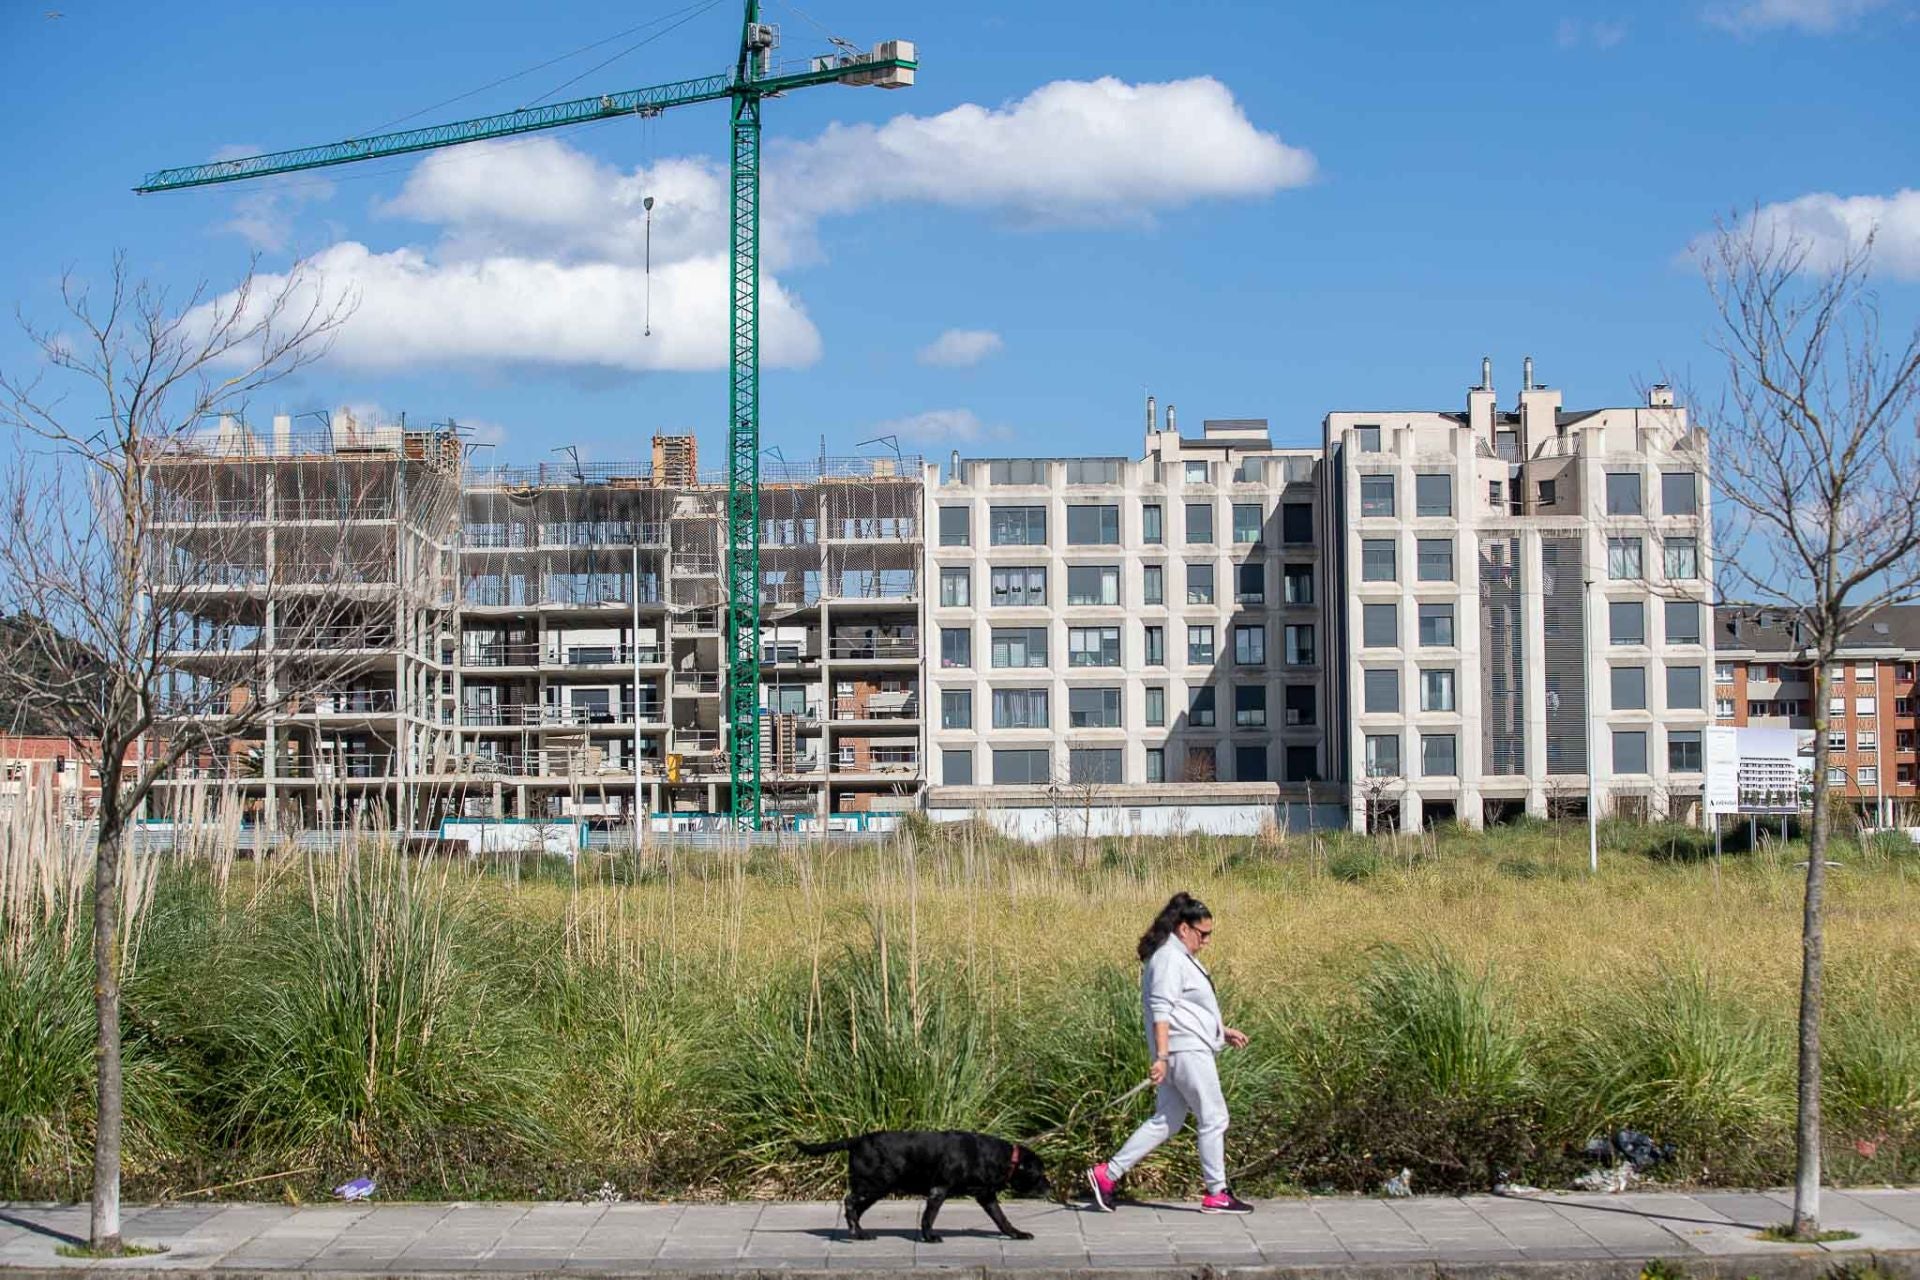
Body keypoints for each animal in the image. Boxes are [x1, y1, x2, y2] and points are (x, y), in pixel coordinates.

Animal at [794, 1128, 1052, 1243]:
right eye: (1040, 1173)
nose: (1050, 1187)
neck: (1001, 1158)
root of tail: (856, 1140)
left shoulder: (987, 1196)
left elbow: (1002, 1220)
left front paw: (1017, 1234)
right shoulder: (939, 1190)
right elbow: (929, 1217)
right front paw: (929, 1237)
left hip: (876, 1188)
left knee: (855, 1209)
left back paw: (859, 1232)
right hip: (875, 1184)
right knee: (849, 1202)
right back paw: (854, 1233)